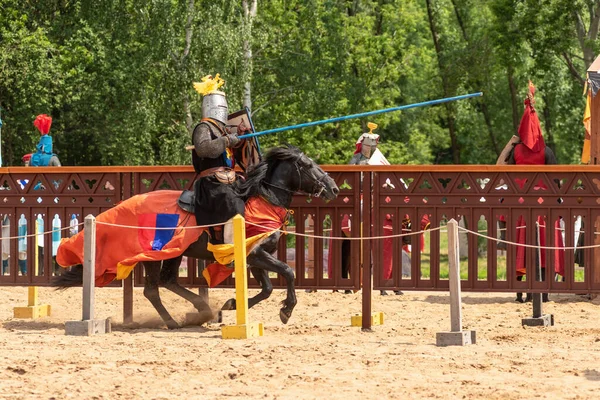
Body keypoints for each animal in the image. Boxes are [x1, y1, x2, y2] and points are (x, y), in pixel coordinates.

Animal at [54, 146, 340, 328]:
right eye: (307, 165)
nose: (334, 188)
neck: (264, 200)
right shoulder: (258, 254)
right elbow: (288, 273)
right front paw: (286, 309)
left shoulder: (254, 257)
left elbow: (268, 288)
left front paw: (231, 304)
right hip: (154, 255)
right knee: (152, 290)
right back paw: (174, 321)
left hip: (175, 253)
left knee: (167, 282)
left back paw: (202, 310)